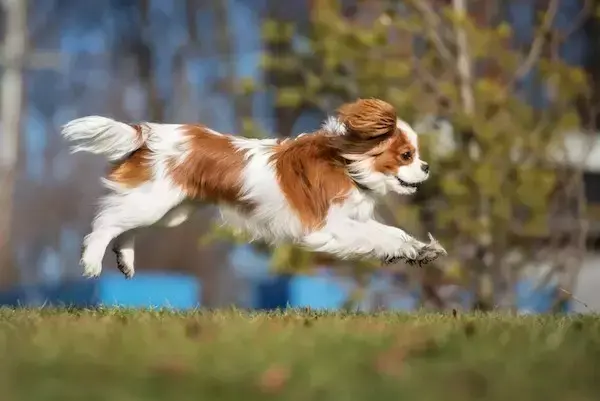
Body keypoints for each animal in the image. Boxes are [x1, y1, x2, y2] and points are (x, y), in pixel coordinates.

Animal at [61, 98, 446, 276]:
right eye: (407, 155)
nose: (427, 167)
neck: (347, 162)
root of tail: (148, 133)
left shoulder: (353, 219)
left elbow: (392, 233)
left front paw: (418, 250)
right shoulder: (329, 227)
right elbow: (379, 236)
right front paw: (408, 250)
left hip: (170, 211)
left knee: (125, 227)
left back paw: (124, 259)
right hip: (154, 202)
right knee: (106, 223)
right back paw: (91, 261)